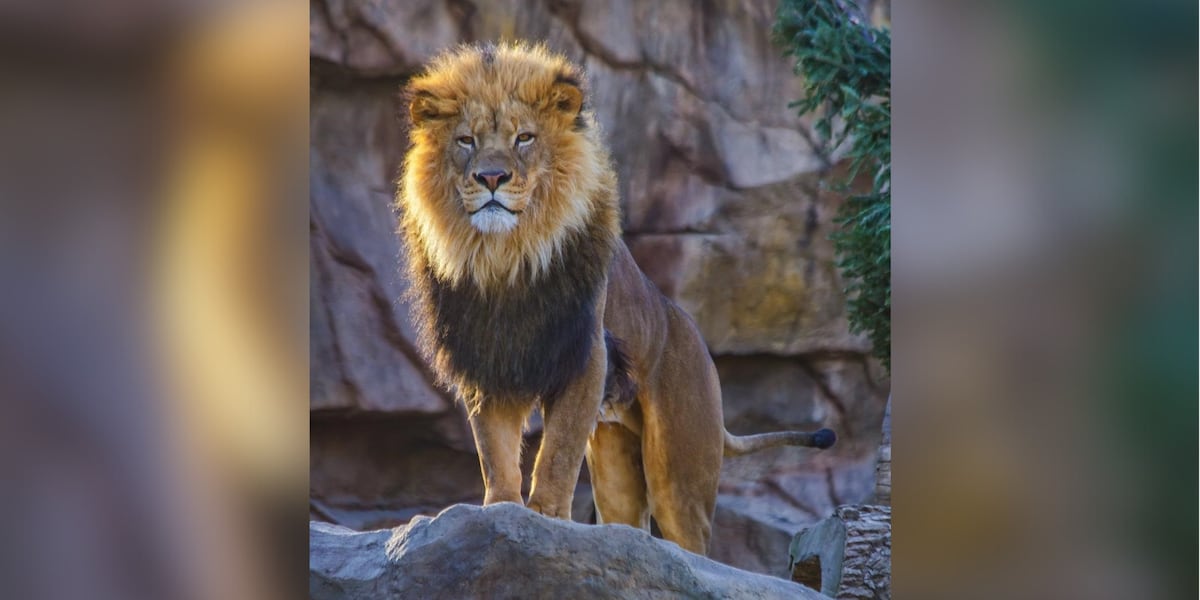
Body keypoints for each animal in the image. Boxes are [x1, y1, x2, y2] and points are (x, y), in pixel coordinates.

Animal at [396, 42, 835, 554]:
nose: (490, 177)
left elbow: (559, 447)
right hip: (618, 467)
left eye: (524, 138)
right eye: (466, 140)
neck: (508, 258)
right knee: (628, 522)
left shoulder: (587, 353)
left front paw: (546, 515)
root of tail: (695, 339)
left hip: (679, 472)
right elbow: (494, 448)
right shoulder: (489, 358)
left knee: (692, 542)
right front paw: (499, 512)